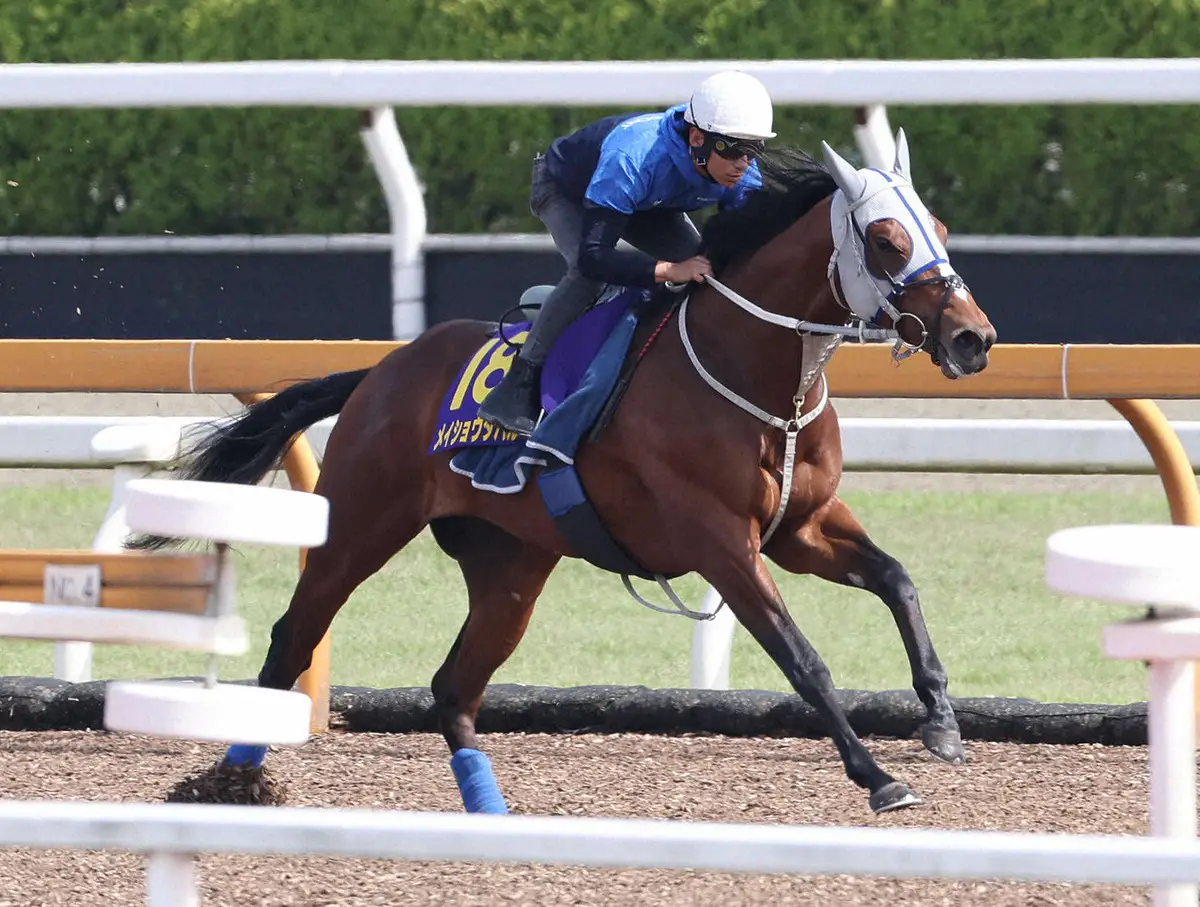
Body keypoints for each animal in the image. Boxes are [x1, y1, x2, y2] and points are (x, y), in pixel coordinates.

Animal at [136, 132, 998, 815]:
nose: (974, 338)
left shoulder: (804, 528)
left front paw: (940, 719)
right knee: (295, 637)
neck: (753, 375)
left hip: (510, 561)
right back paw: (233, 779)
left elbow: (897, 579)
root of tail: (383, 368)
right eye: (886, 239)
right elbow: (803, 658)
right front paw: (877, 774)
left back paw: (487, 807)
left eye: (938, 230)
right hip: (358, 521)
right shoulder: (722, 544)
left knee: (453, 686)